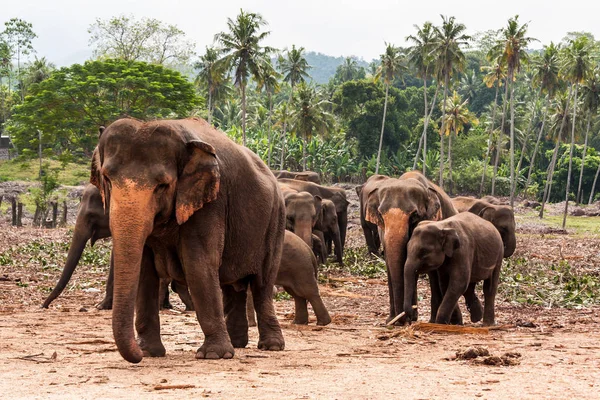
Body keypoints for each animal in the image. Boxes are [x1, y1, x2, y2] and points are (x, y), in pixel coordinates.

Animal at [89, 117, 286, 364]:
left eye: (162, 185)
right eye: (107, 179)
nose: (137, 356)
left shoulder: (211, 202)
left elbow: (198, 265)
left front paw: (213, 355)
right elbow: (145, 270)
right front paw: (149, 352)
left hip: (275, 222)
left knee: (262, 283)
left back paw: (271, 346)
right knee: (233, 286)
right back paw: (237, 343)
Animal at [356, 170, 460, 324]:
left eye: (414, 215)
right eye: (380, 215)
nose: (403, 320)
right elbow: (392, 265)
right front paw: (392, 320)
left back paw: (432, 320)